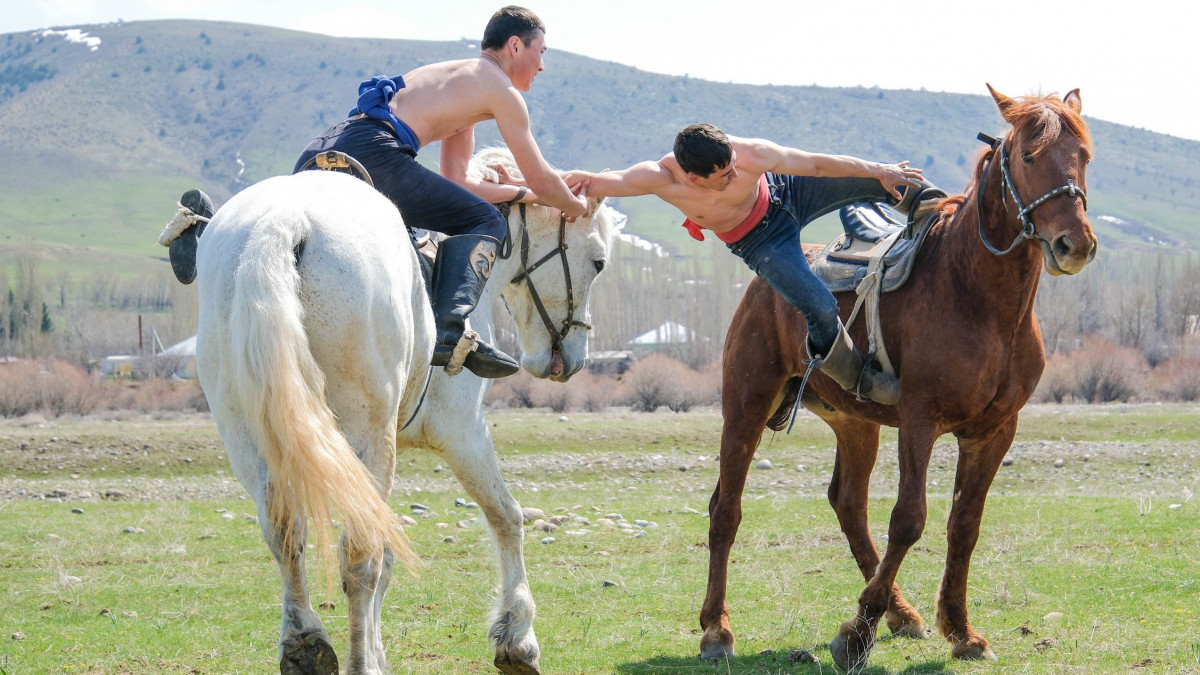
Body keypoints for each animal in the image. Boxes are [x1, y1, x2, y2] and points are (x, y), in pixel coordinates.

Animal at [195, 148, 614, 672]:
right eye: (598, 262)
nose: (572, 359)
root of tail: (282, 222)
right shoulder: (462, 431)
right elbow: (506, 516)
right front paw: (517, 638)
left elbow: (391, 554)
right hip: (366, 435)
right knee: (359, 556)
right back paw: (356, 661)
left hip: (249, 434)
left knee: (285, 535)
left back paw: (305, 644)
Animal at [700, 85, 1099, 667]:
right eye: (1029, 156)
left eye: (1084, 157)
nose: (1076, 244)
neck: (978, 295)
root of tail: (760, 283)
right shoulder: (919, 420)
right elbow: (909, 519)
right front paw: (856, 634)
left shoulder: (994, 431)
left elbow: (964, 524)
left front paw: (959, 629)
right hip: (746, 405)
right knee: (725, 509)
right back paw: (716, 629)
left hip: (855, 424)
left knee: (848, 504)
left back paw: (900, 612)